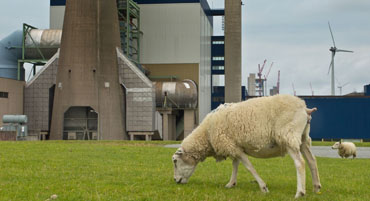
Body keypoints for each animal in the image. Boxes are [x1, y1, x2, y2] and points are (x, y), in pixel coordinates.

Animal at [173, 94, 320, 198]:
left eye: (175, 161)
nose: (175, 180)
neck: (206, 134)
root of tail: (304, 108)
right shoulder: (234, 145)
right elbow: (235, 165)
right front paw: (231, 183)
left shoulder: (233, 147)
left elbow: (249, 167)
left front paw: (263, 187)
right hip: (303, 139)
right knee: (312, 161)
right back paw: (316, 187)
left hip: (289, 136)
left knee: (300, 163)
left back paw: (300, 192)